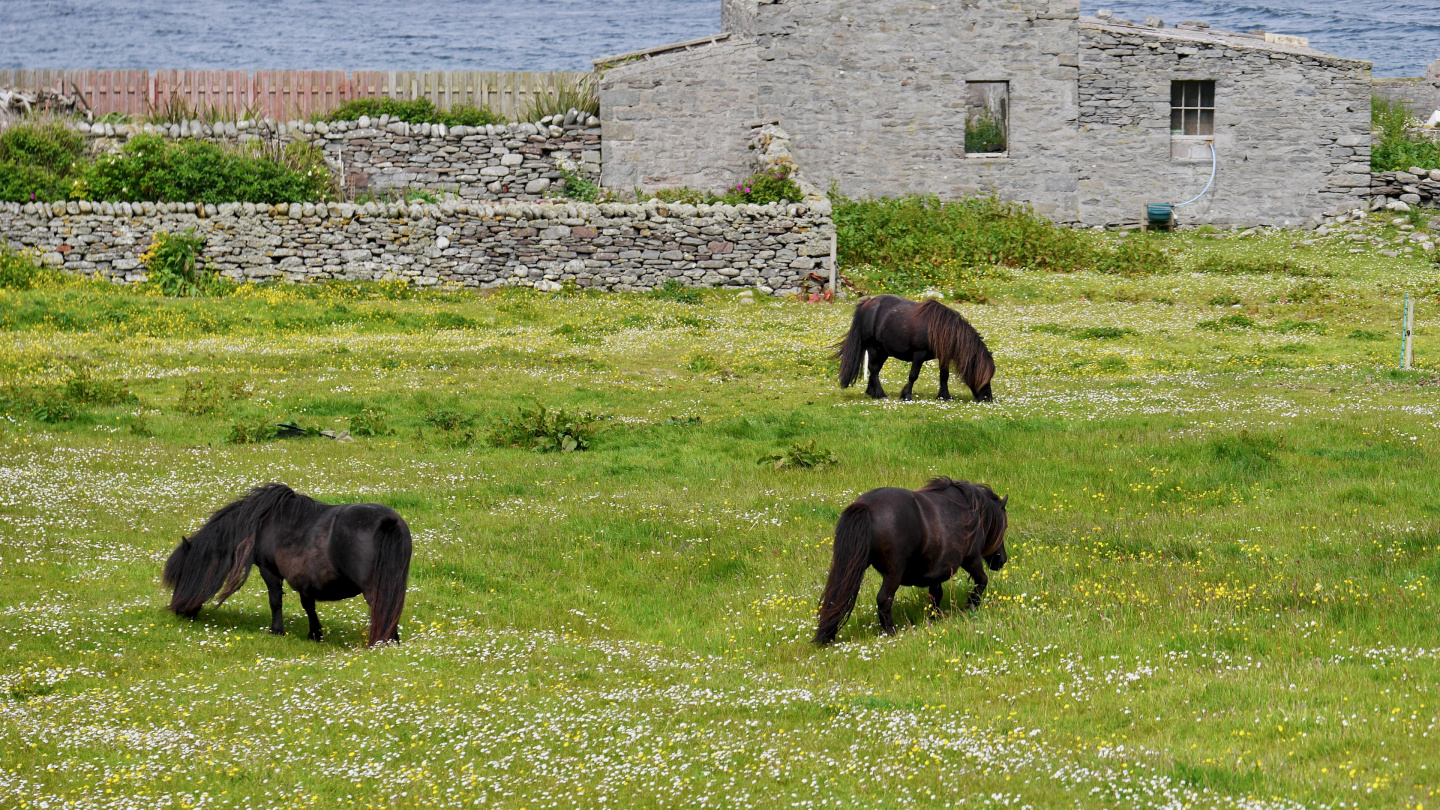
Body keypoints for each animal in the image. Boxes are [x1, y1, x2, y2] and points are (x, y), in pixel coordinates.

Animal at [162, 478, 411, 642]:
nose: (179, 611)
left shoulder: (270, 571)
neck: (262, 522)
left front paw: (277, 630)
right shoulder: (306, 580)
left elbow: (275, 602)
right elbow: (308, 606)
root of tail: (388, 521)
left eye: (180, 576)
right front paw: (314, 634)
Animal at [817, 478, 1008, 642]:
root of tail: (866, 506)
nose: (1002, 560)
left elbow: (936, 595)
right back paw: (891, 632)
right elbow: (982, 581)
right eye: (1004, 526)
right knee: (884, 599)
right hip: (893, 574)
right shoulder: (971, 558)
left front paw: (936, 618)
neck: (969, 509)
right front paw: (971, 606)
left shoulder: (937, 571)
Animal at [840, 292, 996, 400]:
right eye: (983, 375)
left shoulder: (943, 357)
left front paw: (944, 396)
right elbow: (913, 375)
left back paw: (872, 393)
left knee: (875, 369)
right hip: (872, 347)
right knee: (873, 369)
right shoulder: (919, 354)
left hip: (883, 351)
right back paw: (881, 394)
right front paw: (907, 395)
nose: (987, 398)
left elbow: (944, 375)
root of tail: (867, 303)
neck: (939, 328)